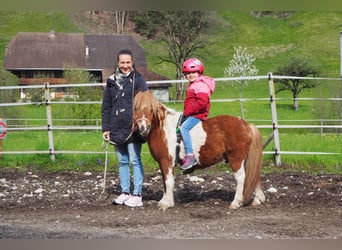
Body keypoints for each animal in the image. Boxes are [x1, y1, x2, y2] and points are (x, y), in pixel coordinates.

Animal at [133, 91, 264, 210]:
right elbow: (164, 182)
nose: (143, 128)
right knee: (254, 176)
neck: (165, 129)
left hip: (236, 159)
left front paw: (167, 203)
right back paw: (258, 199)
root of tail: (247, 125)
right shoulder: (162, 162)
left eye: (151, 109)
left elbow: (169, 181)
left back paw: (236, 202)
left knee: (241, 177)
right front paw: (163, 201)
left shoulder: (167, 161)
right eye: (136, 108)